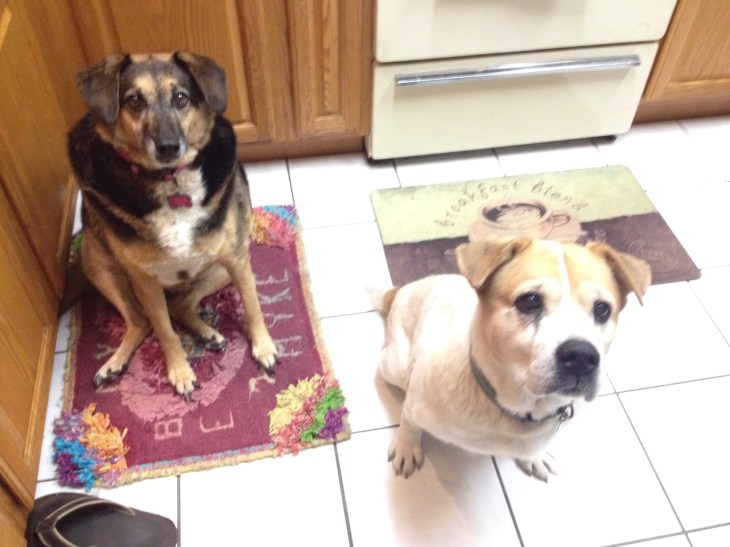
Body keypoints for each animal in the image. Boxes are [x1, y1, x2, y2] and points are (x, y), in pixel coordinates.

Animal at [67, 51, 278, 398]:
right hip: (97, 265)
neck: (171, 182)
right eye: (134, 101)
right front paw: (180, 370)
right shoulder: (145, 282)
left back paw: (208, 334)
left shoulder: (235, 257)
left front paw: (264, 347)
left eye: (180, 98)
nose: (168, 146)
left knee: (180, 305)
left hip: (220, 269)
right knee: (142, 321)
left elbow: (253, 305)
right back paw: (114, 364)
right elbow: (165, 332)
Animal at [378, 238, 650, 480]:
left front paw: (534, 457)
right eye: (529, 301)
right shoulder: (416, 402)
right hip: (395, 365)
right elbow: (409, 423)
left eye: (603, 308)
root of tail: (401, 289)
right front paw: (406, 448)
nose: (582, 356)